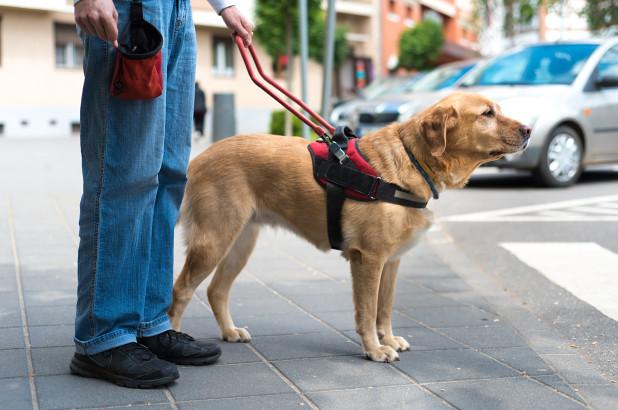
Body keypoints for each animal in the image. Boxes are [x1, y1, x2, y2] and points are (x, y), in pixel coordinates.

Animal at [168, 93, 528, 362]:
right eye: (487, 113)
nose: (528, 130)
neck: (411, 159)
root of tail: (199, 158)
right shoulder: (368, 259)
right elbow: (367, 312)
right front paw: (374, 349)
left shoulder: (391, 262)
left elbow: (384, 308)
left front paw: (388, 339)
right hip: (214, 240)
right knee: (181, 290)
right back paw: (172, 339)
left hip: (240, 243)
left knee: (216, 290)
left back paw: (229, 331)